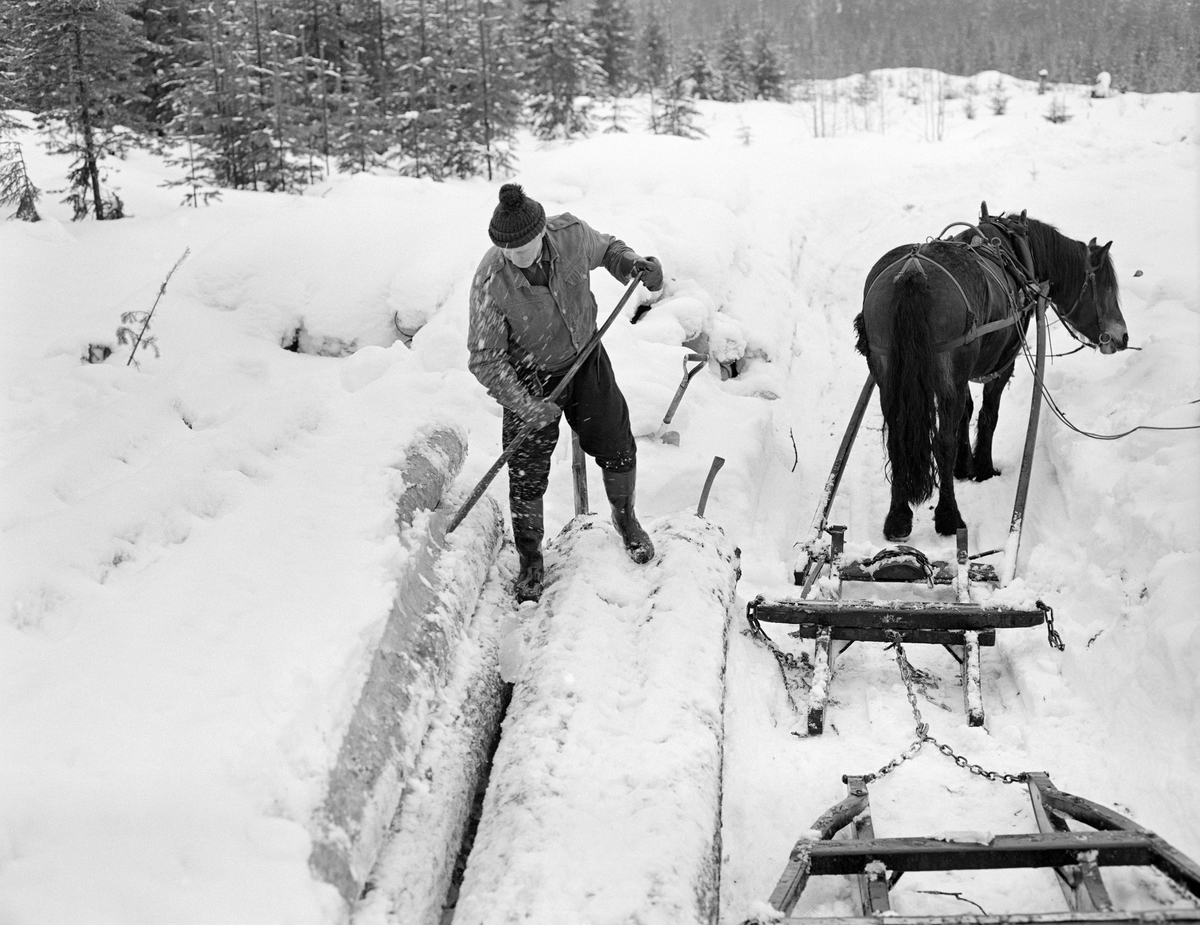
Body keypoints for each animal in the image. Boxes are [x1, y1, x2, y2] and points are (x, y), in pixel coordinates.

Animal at [854, 205, 1123, 539]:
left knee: (897, 440)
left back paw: (898, 519)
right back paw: (949, 517)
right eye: (1107, 288)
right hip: (946, 378)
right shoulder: (1001, 365)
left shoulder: (963, 374)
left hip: (890, 378)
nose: (1122, 336)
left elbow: (966, 413)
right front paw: (982, 467)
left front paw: (964, 466)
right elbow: (987, 415)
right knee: (941, 443)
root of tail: (912, 273)